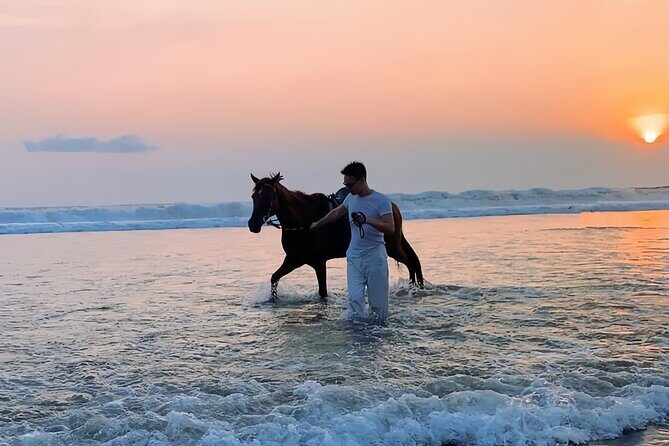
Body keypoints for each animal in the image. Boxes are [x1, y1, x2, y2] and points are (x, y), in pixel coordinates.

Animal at [247, 172, 424, 300]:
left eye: (269, 197)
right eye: (254, 196)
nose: (253, 224)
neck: (303, 221)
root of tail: (392, 206)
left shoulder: (319, 263)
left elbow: (323, 292)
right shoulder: (294, 259)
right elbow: (274, 278)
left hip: (392, 248)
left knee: (410, 263)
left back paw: (412, 289)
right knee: (412, 262)